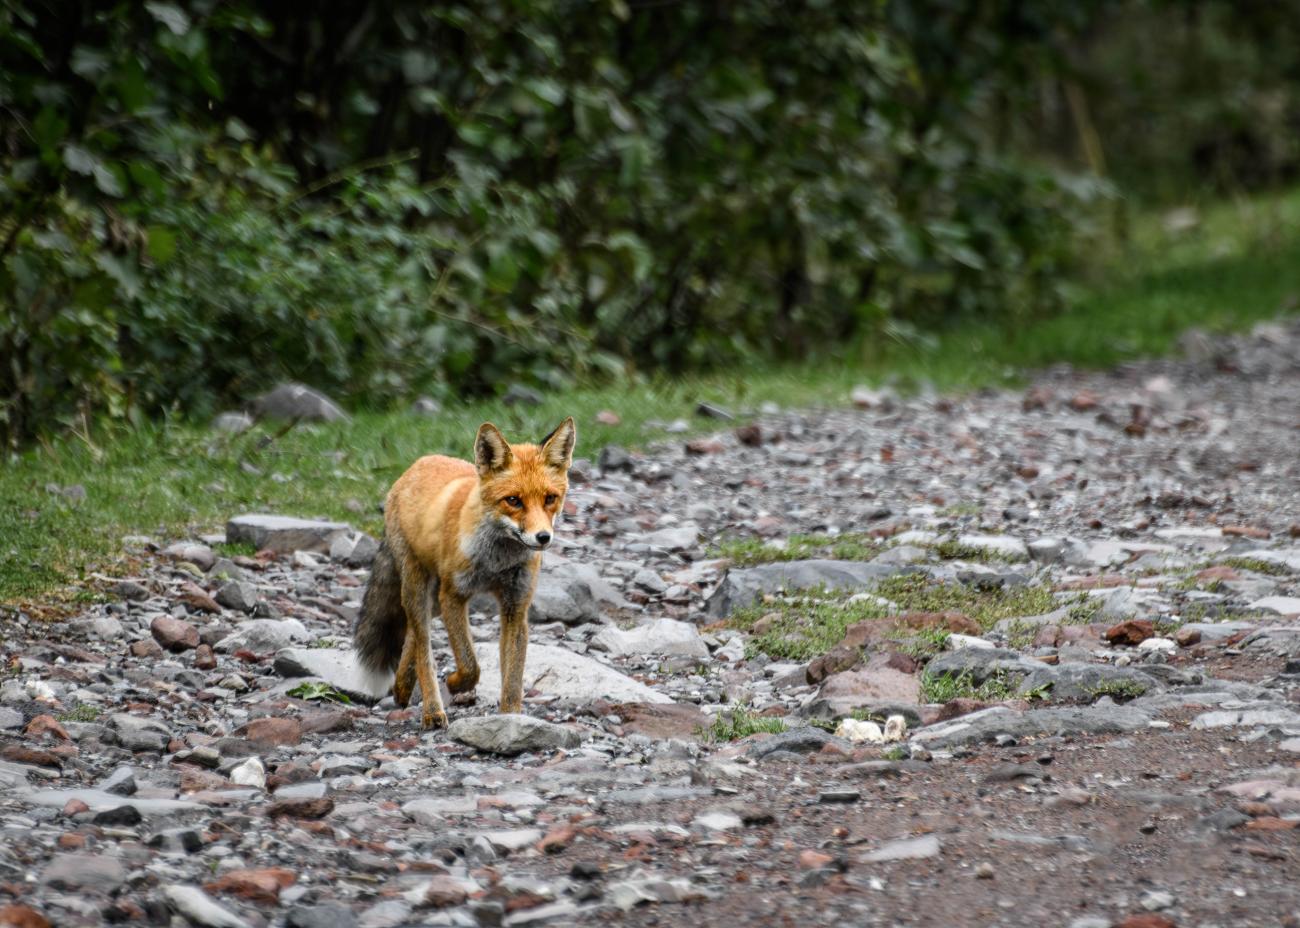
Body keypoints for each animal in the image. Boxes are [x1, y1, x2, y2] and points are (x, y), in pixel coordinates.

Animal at [352, 417, 576, 729]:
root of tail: (417, 464)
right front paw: (456, 683)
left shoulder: (515, 607)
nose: (543, 537)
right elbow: (470, 665)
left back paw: (402, 686)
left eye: (550, 498)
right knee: (423, 646)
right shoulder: (454, 596)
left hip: (433, 599)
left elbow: (513, 679)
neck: (496, 562)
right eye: (513, 500)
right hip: (418, 587)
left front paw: (511, 720)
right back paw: (432, 710)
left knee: (412, 635)